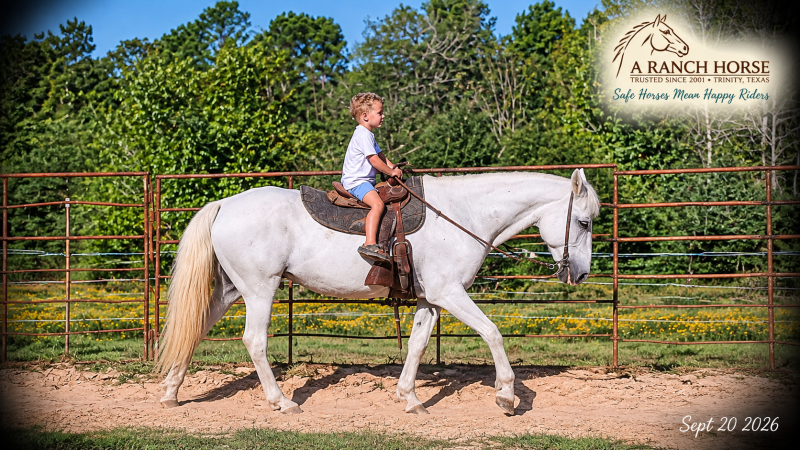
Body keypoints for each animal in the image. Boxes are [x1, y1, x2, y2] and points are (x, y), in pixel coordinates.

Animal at [156, 169, 601, 415]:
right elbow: (493, 333)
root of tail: (224, 205)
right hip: (259, 289)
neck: (464, 215)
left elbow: (418, 345)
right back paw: (281, 402)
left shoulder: (429, 299)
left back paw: (172, 393)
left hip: (230, 290)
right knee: (255, 341)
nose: (580, 274)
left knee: (194, 329)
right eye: (583, 222)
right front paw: (507, 396)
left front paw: (410, 398)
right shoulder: (449, 293)